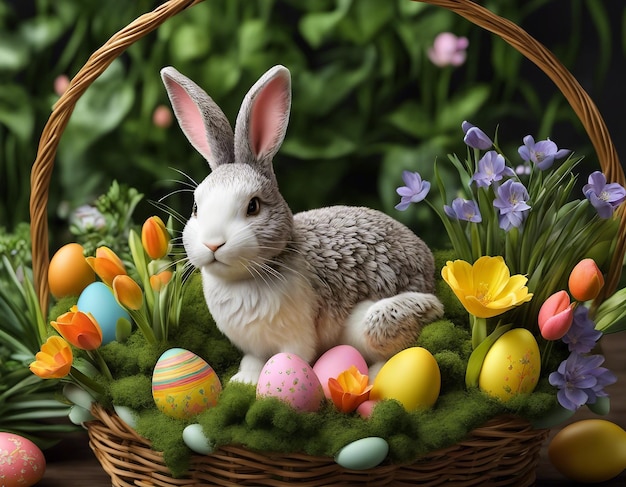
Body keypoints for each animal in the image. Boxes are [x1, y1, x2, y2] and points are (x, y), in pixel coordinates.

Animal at [163, 66, 442, 386]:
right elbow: (253, 362)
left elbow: (291, 358)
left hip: (380, 321)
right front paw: (243, 381)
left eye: (253, 206)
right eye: (196, 208)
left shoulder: (296, 337)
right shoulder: (253, 346)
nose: (212, 243)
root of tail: (429, 267)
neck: (247, 277)